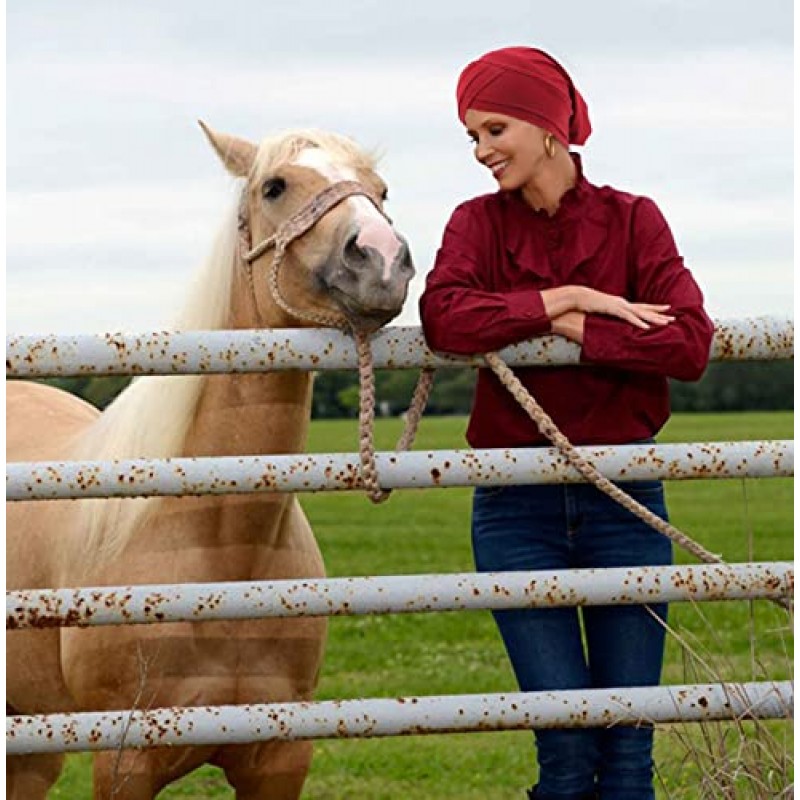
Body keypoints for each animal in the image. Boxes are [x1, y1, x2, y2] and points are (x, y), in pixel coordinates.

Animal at [6, 122, 416, 796]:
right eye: (275, 186)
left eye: (381, 190)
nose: (381, 257)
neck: (224, 552)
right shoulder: (125, 760)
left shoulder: (280, 757)